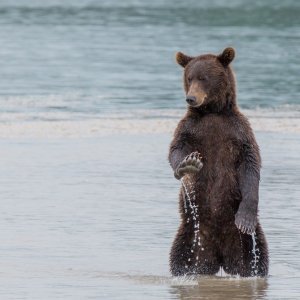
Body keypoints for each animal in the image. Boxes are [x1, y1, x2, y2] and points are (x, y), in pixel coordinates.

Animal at [169, 47, 270, 278]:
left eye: (203, 78)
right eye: (189, 77)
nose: (190, 98)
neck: (212, 112)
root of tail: (221, 258)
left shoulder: (239, 132)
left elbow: (251, 166)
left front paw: (245, 219)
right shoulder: (190, 129)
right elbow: (176, 149)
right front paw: (188, 165)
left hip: (245, 244)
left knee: (258, 258)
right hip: (191, 236)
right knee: (180, 258)